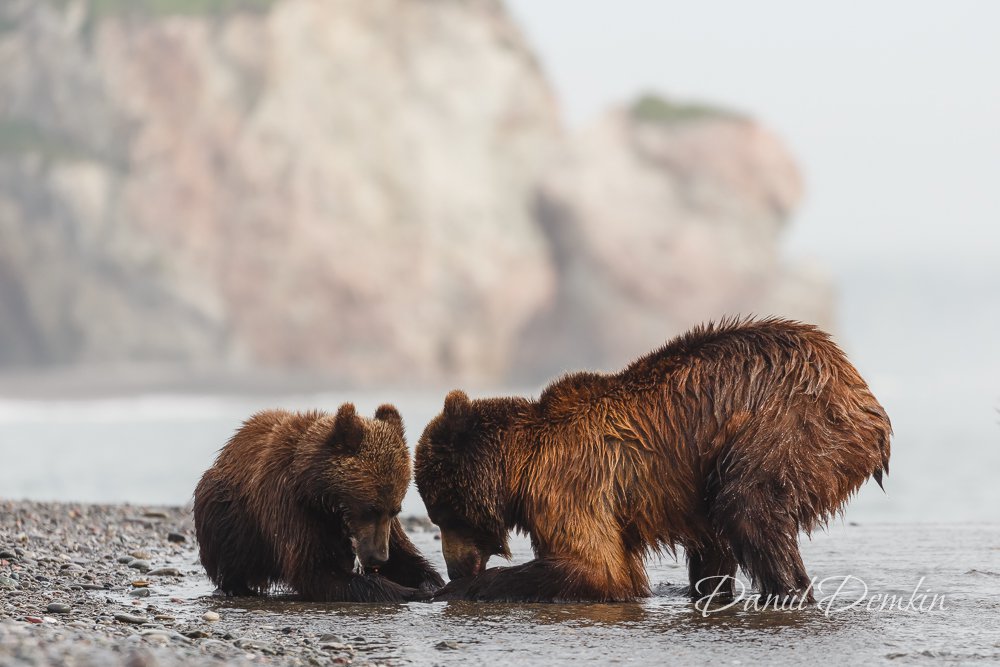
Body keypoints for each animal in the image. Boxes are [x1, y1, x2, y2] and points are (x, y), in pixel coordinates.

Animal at [194, 404, 442, 604]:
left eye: (394, 510)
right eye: (370, 509)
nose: (379, 557)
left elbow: (405, 556)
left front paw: (430, 583)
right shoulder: (293, 508)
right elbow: (316, 571)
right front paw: (408, 591)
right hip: (225, 508)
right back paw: (237, 586)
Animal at [414, 318, 892, 604]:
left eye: (444, 512)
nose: (454, 566)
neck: (520, 467)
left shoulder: (568, 485)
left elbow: (596, 567)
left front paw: (461, 588)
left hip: (789, 427)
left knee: (749, 506)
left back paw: (786, 592)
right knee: (719, 529)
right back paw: (711, 593)